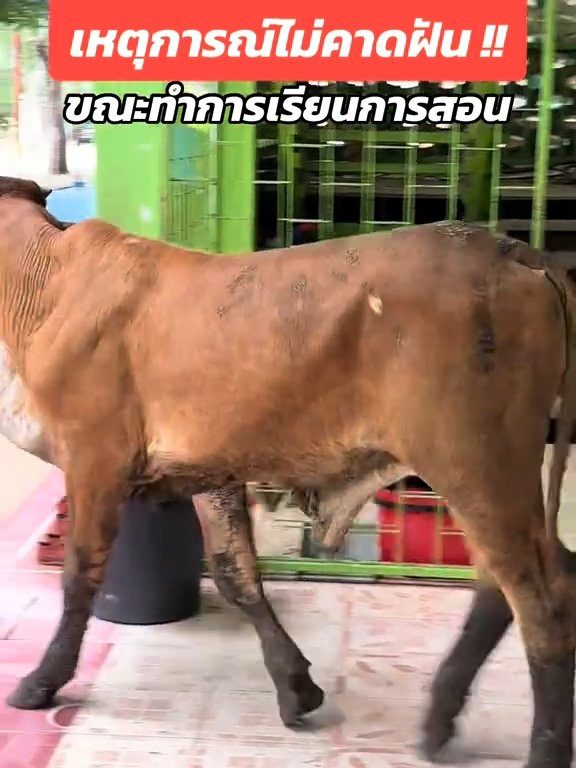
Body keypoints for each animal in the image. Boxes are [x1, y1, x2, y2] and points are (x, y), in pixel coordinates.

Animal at [0, 176, 572, 768]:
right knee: (506, 584)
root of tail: (508, 249)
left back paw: (540, 748)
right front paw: (296, 686)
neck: (43, 282)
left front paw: (42, 681)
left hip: (474, 463)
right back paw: (439, 717)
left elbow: (79, 575)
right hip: (483, 475)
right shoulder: (210, 471)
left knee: (543, 599)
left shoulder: (94, 457)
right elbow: (235, 572)